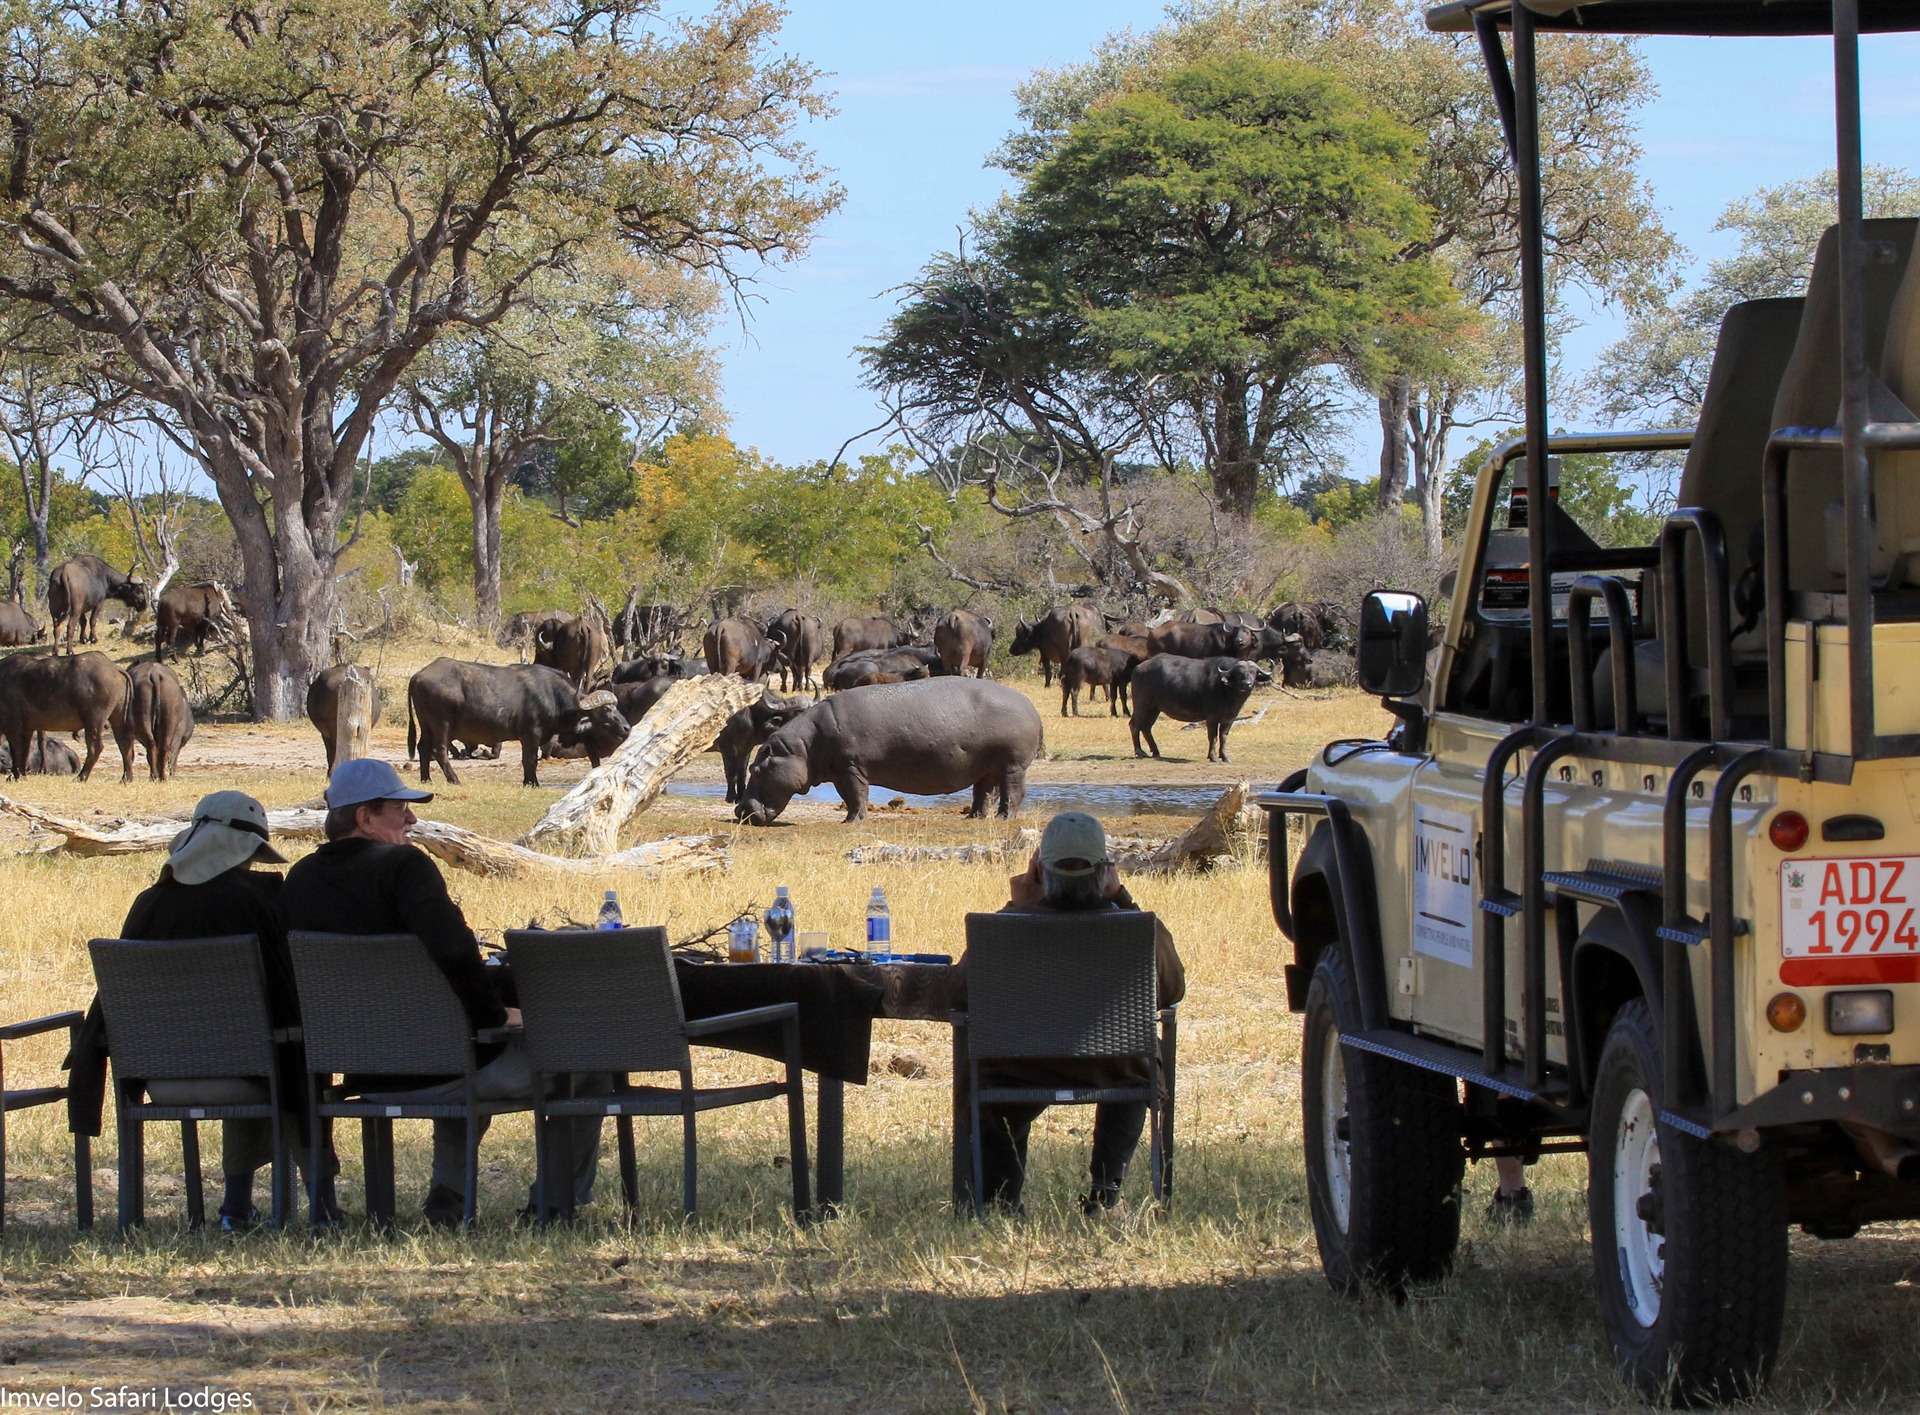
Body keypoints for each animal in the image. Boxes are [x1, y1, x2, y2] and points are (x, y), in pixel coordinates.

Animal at [0, 650, 132, 781]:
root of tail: (114, 667)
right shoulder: (27, 729)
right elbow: (24, 752)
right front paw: (20, 775)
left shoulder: (13, 727)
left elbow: (17, 751)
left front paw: (15, 776)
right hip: (117, 716)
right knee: (124, 744)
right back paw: (126, 778)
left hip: (94, 720)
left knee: (96, 747)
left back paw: (81, 777)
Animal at [406, 659, 631, 786]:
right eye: (605, 710)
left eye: (617, 707)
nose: (626, 728)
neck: (552, 696)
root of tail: (417, 675)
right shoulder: (531, 734)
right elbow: (530, 759)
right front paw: (533, 783)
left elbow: (528, 760)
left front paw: (528, 781)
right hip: (441, 724)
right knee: (439, 749)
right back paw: (454, 779)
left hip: (426, 725)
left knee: (423, 747)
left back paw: (426, 779)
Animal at [1129, 655, 1266, 763]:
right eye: (1239, 673)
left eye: (1253, 672)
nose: (1247, 684)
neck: (1226, 689)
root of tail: (1138, 668)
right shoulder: (1211, 718)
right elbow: (1213, 737)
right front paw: (1213, 757)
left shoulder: (1229, 719)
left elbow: (1224, 737)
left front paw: (1225, 757)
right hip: (1141, 704)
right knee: (1134, 725)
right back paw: (1139, 751)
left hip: (1154, 708)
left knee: (1146, 727)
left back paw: (1156, 752)